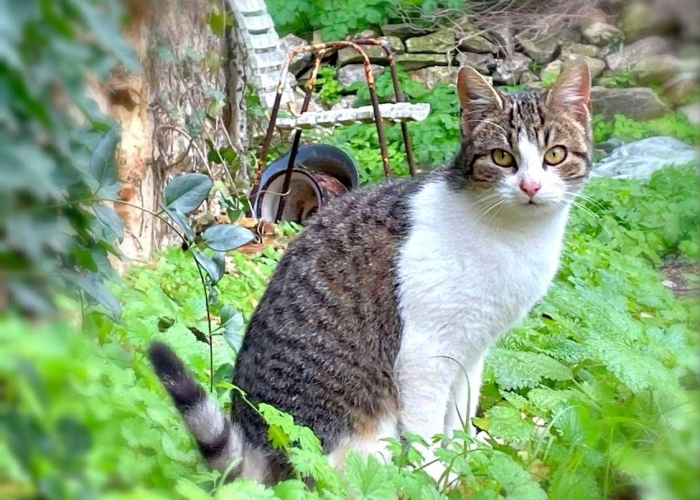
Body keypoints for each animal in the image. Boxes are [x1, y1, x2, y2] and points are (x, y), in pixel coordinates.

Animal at [148, 60, 592, 486]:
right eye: (502, 157)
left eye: (555, 154)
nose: (531, 187)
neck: (515, 237)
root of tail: (259, 450)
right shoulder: (425, 352)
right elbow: (426, 434)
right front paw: (433, 480)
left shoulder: (473, 352)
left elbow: (459, 422)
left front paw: (462, 468)